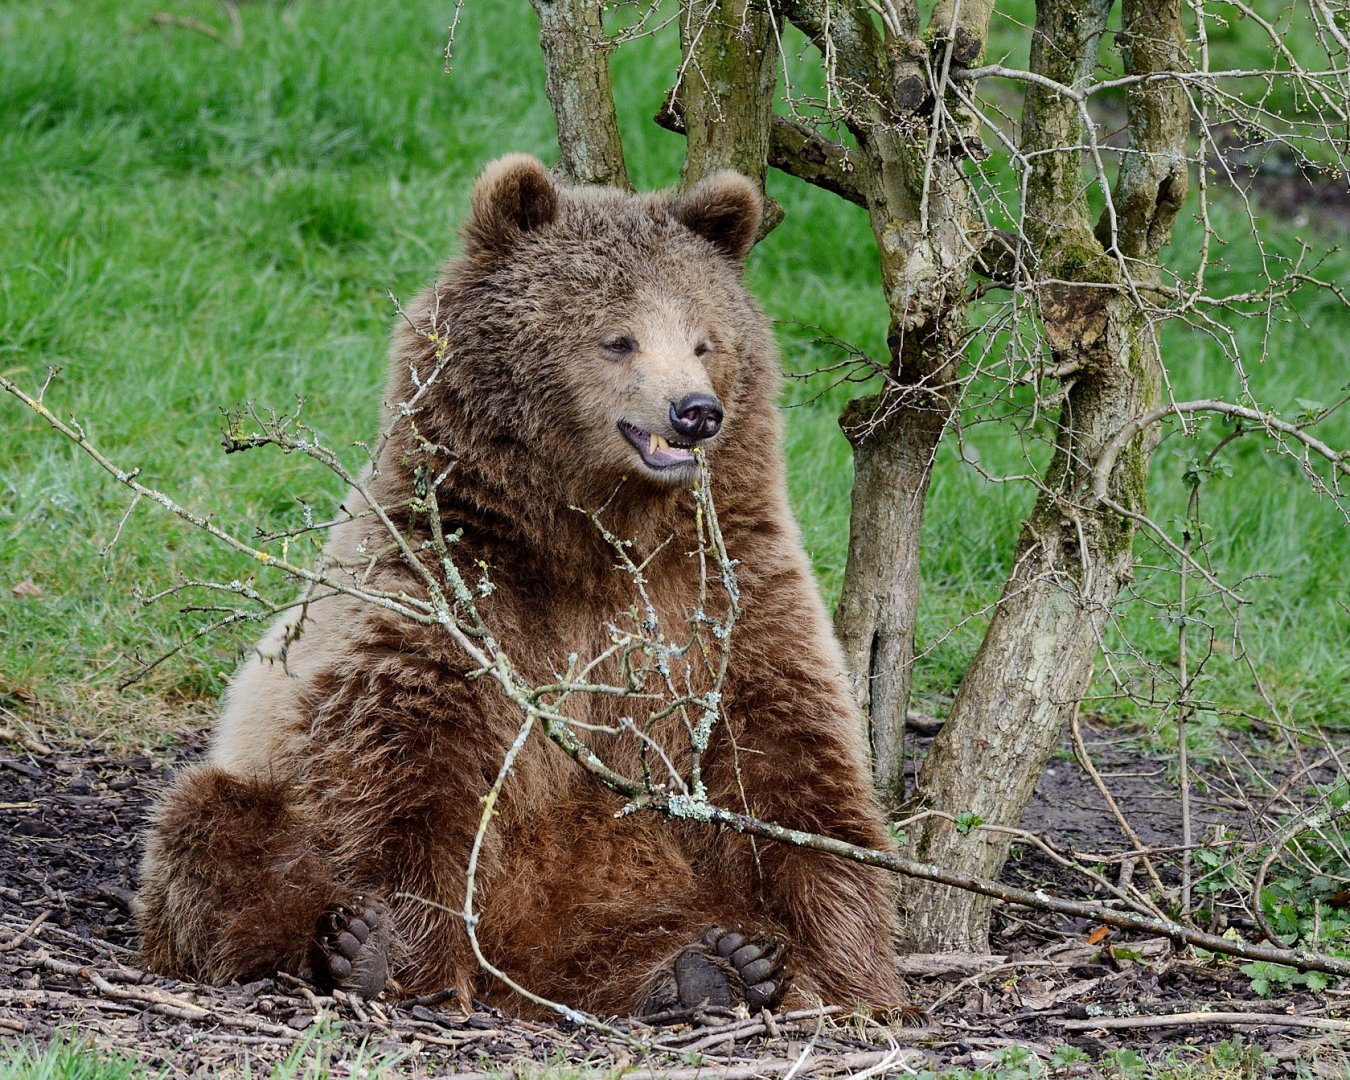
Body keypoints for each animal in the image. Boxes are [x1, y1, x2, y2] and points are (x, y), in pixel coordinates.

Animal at [137, 155, 904, 1019]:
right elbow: (407, 766)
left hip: (625, 873)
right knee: (209, 827)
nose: (695, 411)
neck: (598, 540)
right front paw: (400, 952)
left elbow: (786, 762)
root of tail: (524, 963)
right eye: (618, 338)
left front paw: (850, 973)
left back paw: (714, 965)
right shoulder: (451, 585)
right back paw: (349, 948)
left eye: (705, 340)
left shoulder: (723, 596)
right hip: (266, 792)